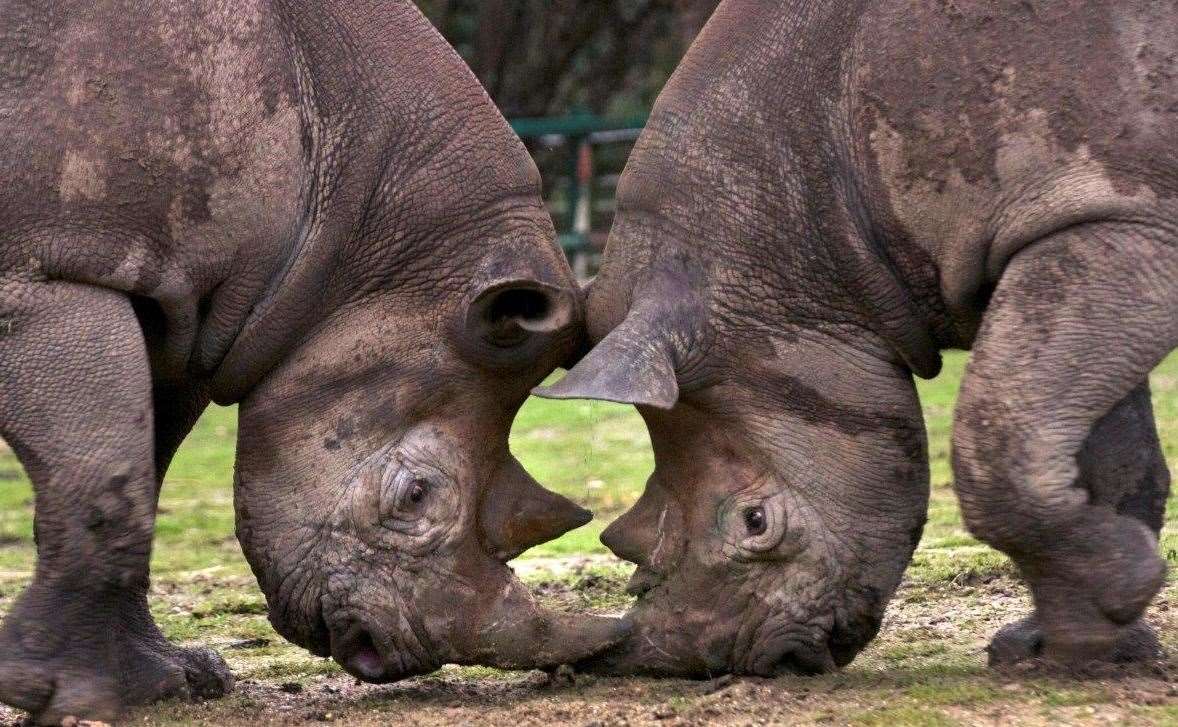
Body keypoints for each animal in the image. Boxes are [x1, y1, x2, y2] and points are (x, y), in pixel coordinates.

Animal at [0, 0, 626, 721]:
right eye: (415, 495)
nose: (397, 655)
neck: (355, 252)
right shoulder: (47, 271)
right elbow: (107, 475)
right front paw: (69, 695)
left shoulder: (177, 313)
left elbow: (140, 469)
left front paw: (169, 681)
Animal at [539, 0, 1168, 678]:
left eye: (755, 522)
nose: (714, 657)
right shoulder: (1073, 222)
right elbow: (1106, 448)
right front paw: (1081, 645)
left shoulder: (1121, 214)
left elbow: (999, 436)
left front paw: (1096, 624)